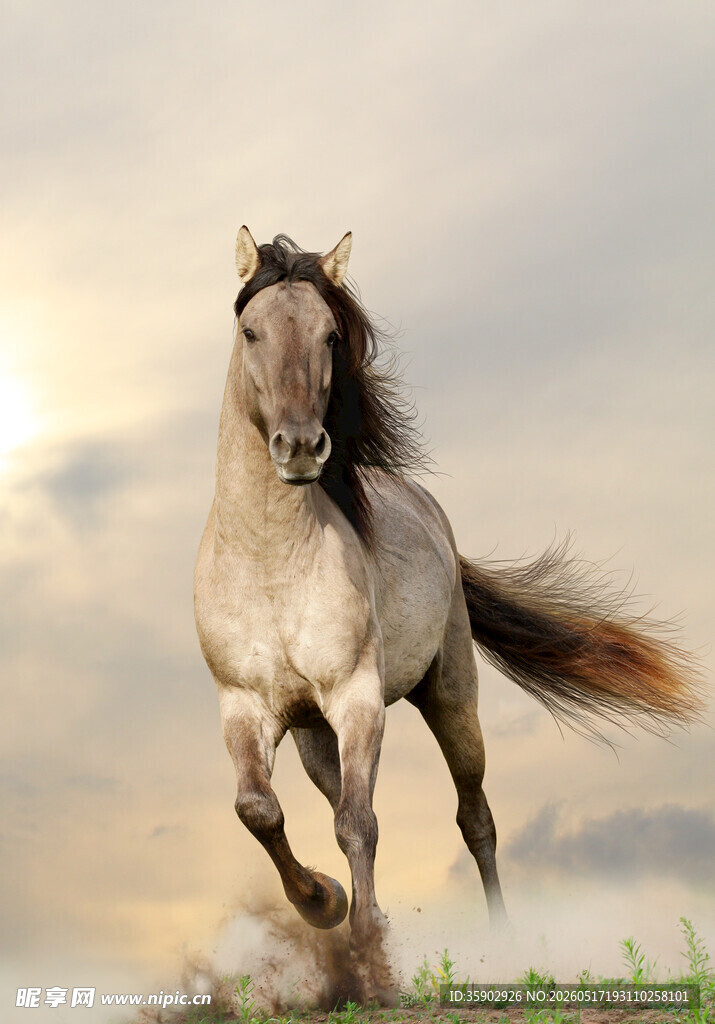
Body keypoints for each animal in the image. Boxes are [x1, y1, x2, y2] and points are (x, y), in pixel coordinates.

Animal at [194, 228, 701, 949]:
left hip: (450, 694)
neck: (269, 565)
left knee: (472, 816)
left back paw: (501, 941)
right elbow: (259, 810)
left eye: (329, 334)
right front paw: (323, 900)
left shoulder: (357, 697)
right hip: (314, 733)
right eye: (250, 331)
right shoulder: (244, 706)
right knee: (338, 798)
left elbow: (359, 822)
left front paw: (365, 946)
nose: (300, 447)